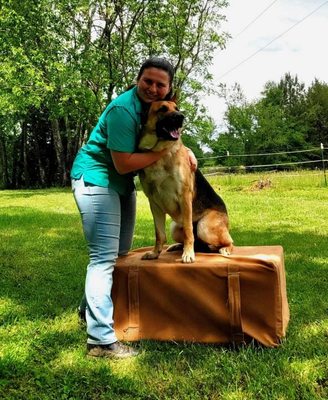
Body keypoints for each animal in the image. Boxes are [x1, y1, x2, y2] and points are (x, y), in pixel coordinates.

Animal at [138, 99, 233, 262]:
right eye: (162, 109)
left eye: (176, 108)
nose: (181, 116)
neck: (159, 153)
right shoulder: (154, 203)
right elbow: (159, 234)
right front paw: (155, 253)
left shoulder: (184, 196)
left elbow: (189, 231)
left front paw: (188, 254)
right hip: (175, 227)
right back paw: (177, 246)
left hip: (204, 227)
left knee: (228, 241)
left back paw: (224, 249)